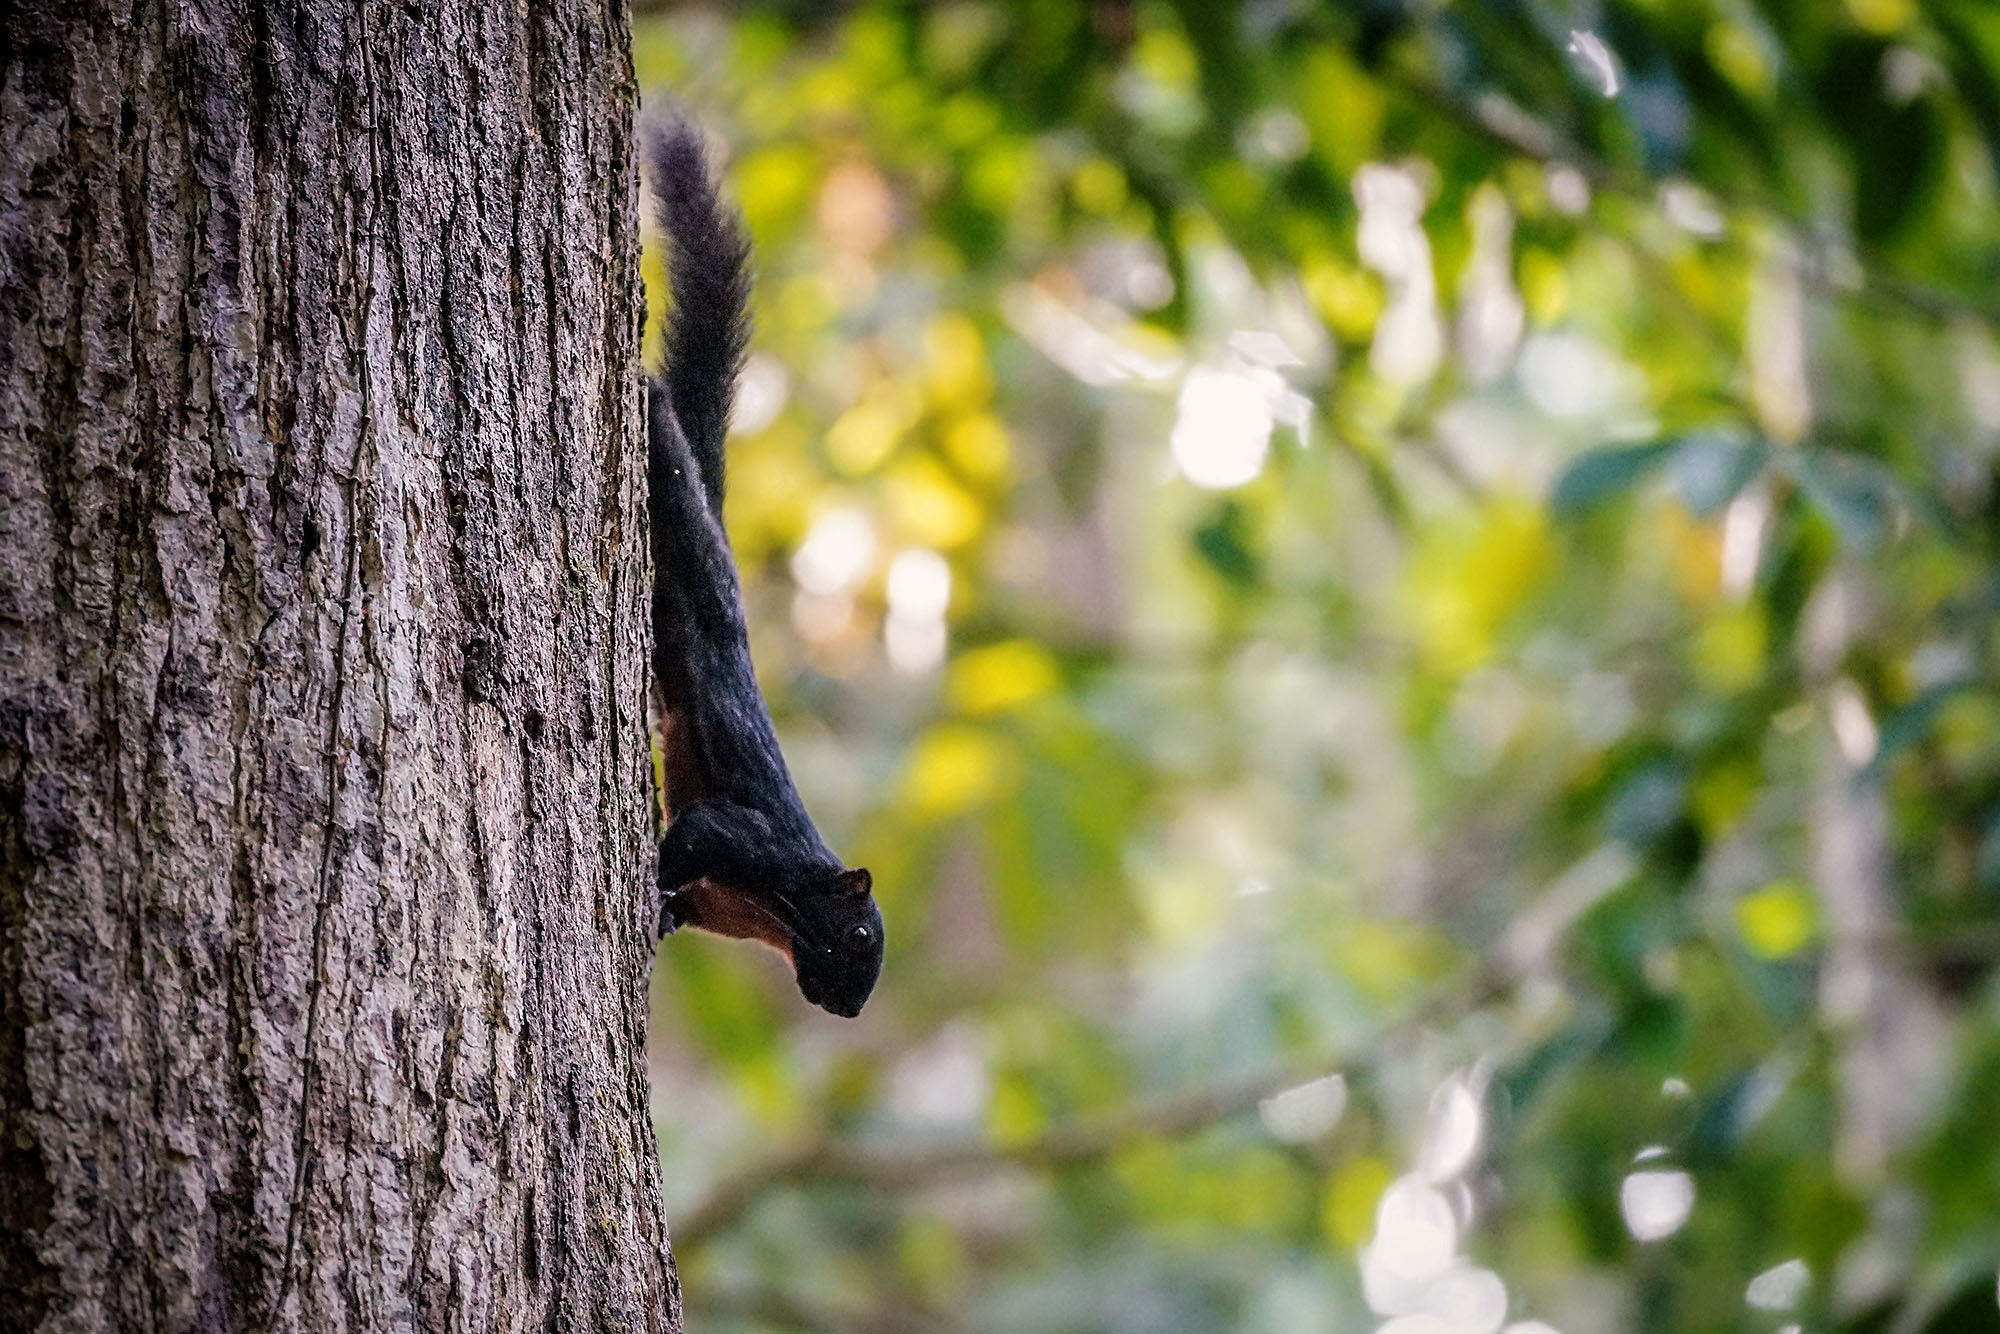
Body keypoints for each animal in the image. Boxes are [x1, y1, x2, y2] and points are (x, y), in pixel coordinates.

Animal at [645, 119, 884, 1019]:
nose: (848, 1008)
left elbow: (685, 893)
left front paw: (663, 914)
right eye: (861, 936)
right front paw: (648, 885)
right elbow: (694, 834)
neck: (774, 914)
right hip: (698, 567)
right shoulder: (754, 845)